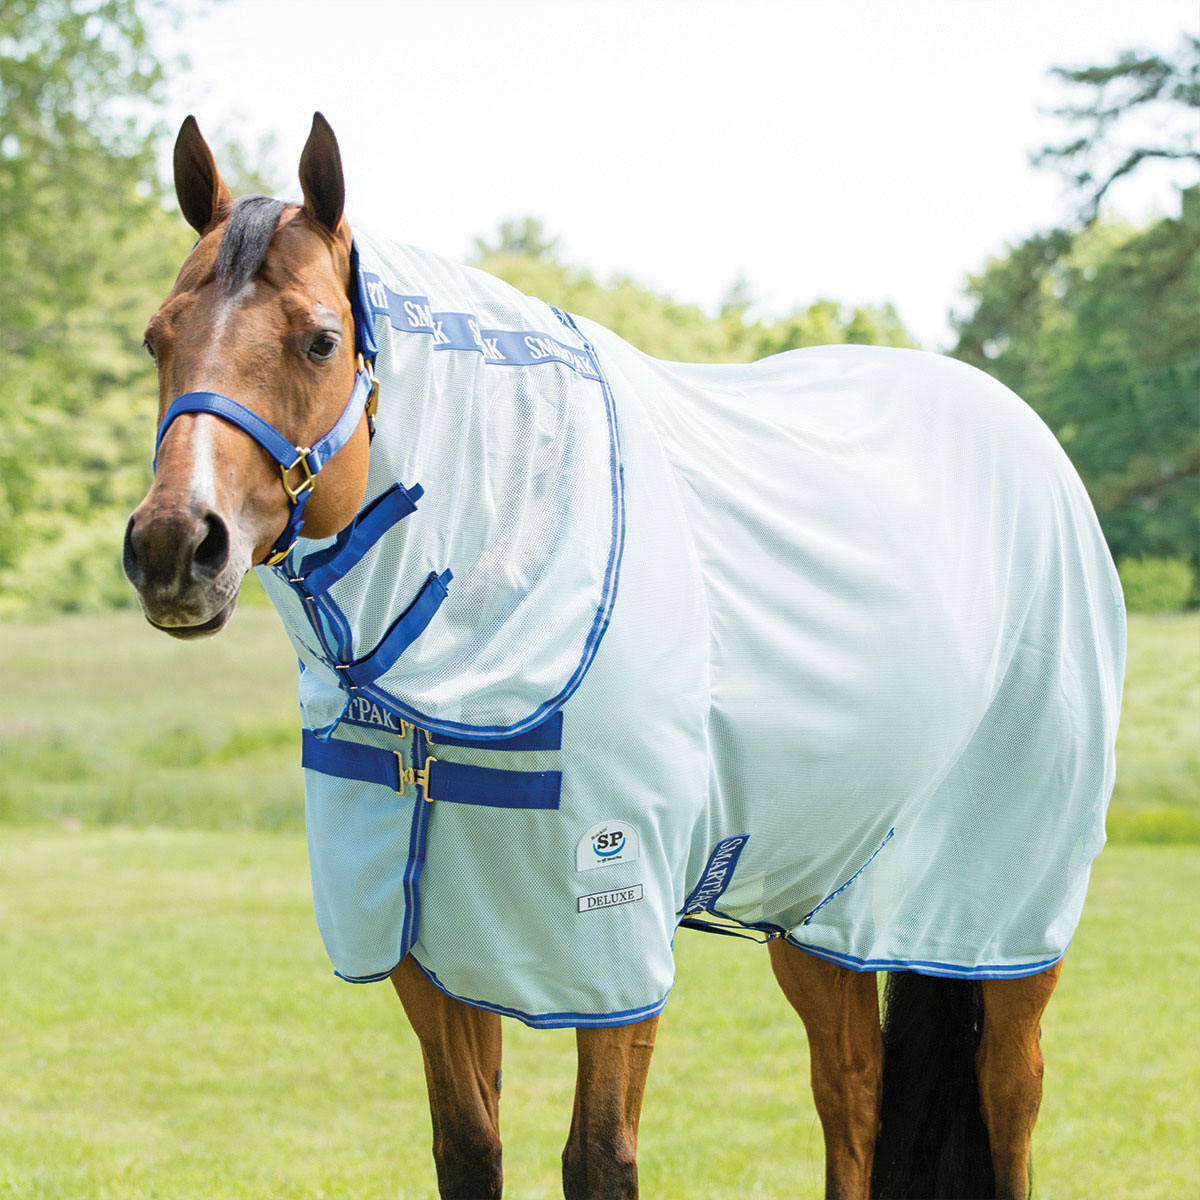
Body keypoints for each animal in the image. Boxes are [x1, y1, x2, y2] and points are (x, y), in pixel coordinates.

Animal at [124, 113, 1125, 1200]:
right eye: (157, 337)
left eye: (319, 338)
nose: (176, 547)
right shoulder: (420, 938)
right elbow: (467, 1148)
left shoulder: (608, 940)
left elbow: (598, 1158)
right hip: (825, 900)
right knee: (853, 1092)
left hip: (1005, 919)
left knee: (1010, 1095)